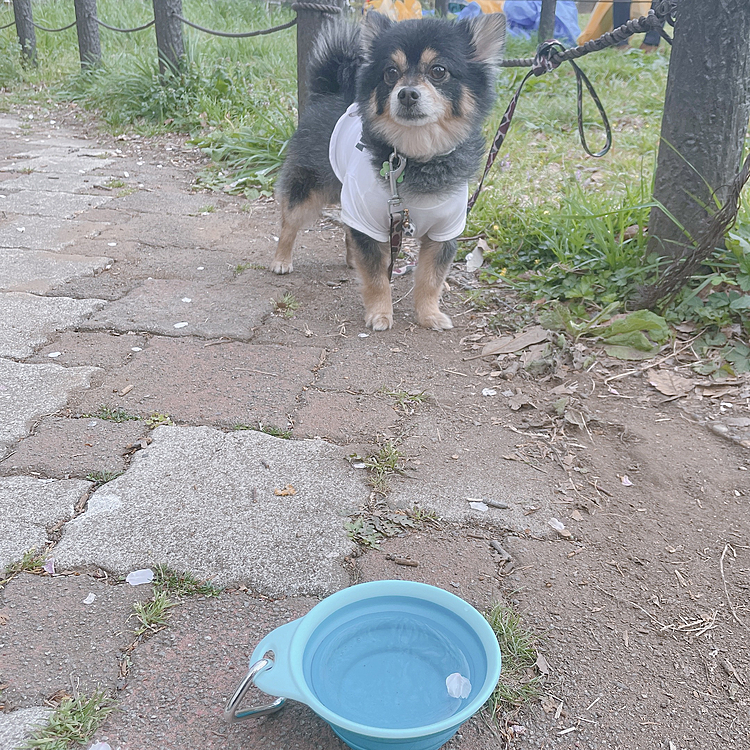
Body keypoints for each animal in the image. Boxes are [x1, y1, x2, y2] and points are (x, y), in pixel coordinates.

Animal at [274, 13, 508, 330]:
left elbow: (431, 278)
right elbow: (376, 276)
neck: (415, 157)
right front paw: (380, 313)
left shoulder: (444, 231)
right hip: (309, 189)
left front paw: (429, 315)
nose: (406, 93)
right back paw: (281, 260)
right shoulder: (369, 218)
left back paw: (351, 260)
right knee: (290, 222)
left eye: (438, 71)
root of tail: (329, 93)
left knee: (348, 231)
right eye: (390, 72)